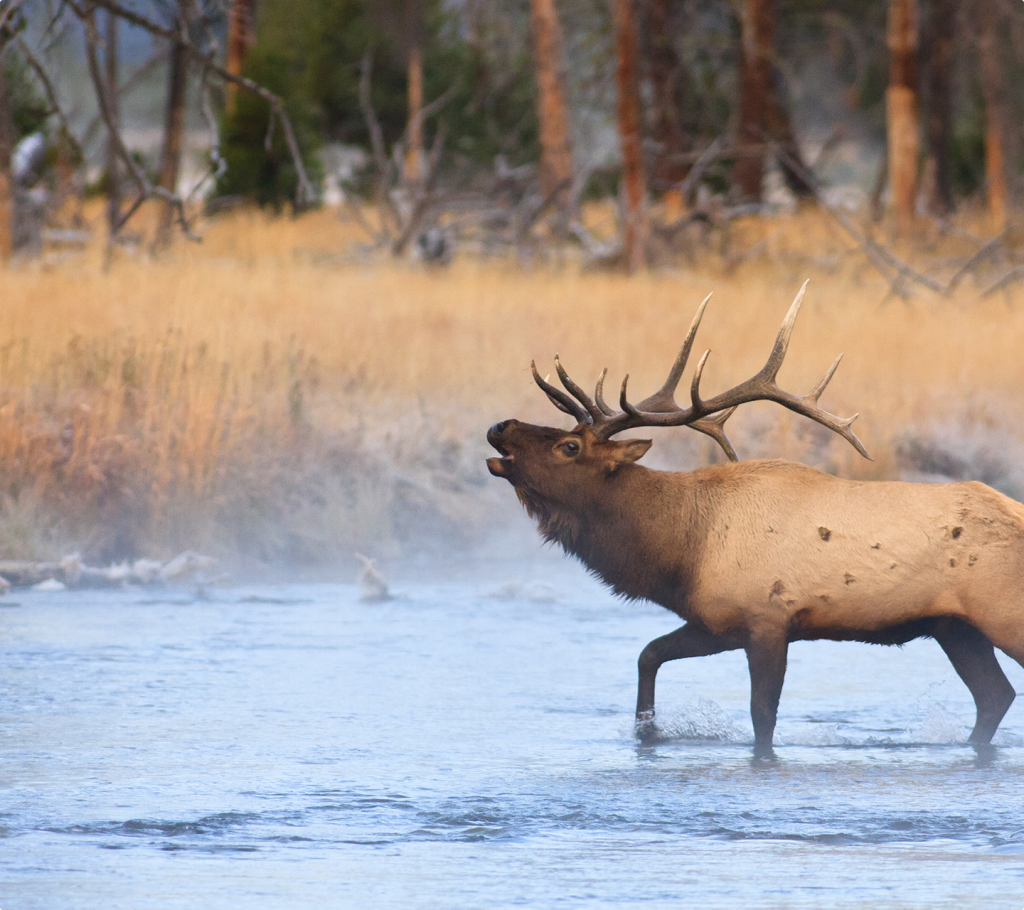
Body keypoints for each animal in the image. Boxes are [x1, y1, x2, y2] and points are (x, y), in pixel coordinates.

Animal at [487, 283, 1023, 758]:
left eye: (569, 446)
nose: (499, 426)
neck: (682, 549)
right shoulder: (717, 621)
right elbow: (648, 655)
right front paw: (648, 734)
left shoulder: (769, 619)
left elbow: (762, 716)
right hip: (955, 627)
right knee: (995, 695)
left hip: (1001, 614)